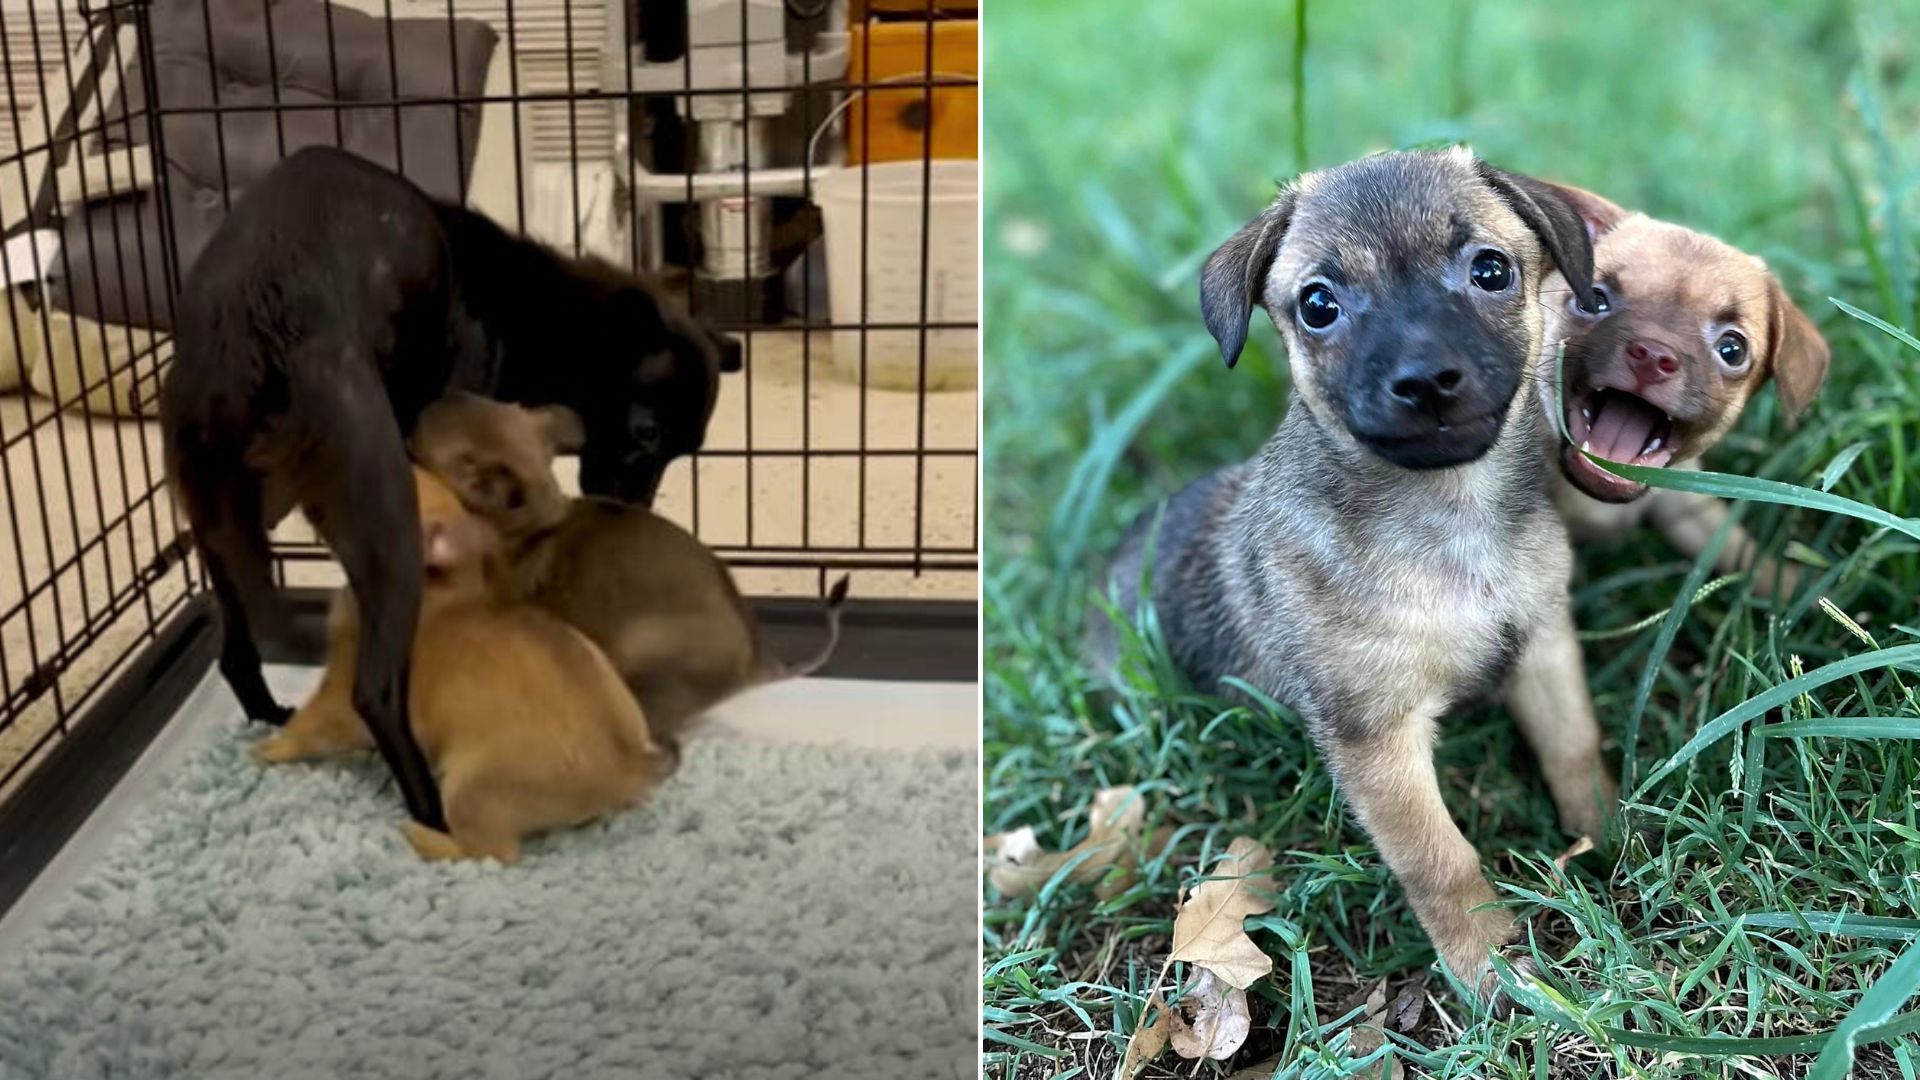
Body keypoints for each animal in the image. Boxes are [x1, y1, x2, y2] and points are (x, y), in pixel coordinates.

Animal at [251, 466, 675, 860]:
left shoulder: (343, 694)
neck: (439, 584)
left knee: (490, 851)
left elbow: (308, 727)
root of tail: (627, 765)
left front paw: (267, 747)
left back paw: (420, 836)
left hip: (468, 790)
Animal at [1528, 184, 1827, 591]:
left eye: (1732, 350)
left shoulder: (1688, 507)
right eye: (1593, 302)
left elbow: (1743, 555)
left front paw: (1798, 590)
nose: (1653, 355)